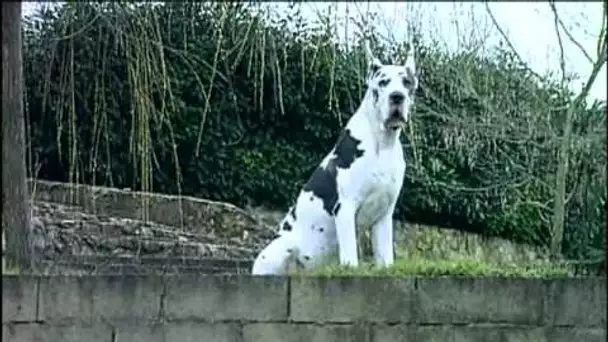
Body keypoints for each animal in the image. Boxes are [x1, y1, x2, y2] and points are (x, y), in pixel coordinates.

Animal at [252, 43, 418, 276]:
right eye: (383, 81)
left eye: (407, 82)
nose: (397, 97)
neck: (382, 144)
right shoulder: (345, 208)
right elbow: (350, 256)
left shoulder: (384, 215)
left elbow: (385, 256)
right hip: (278, 249)